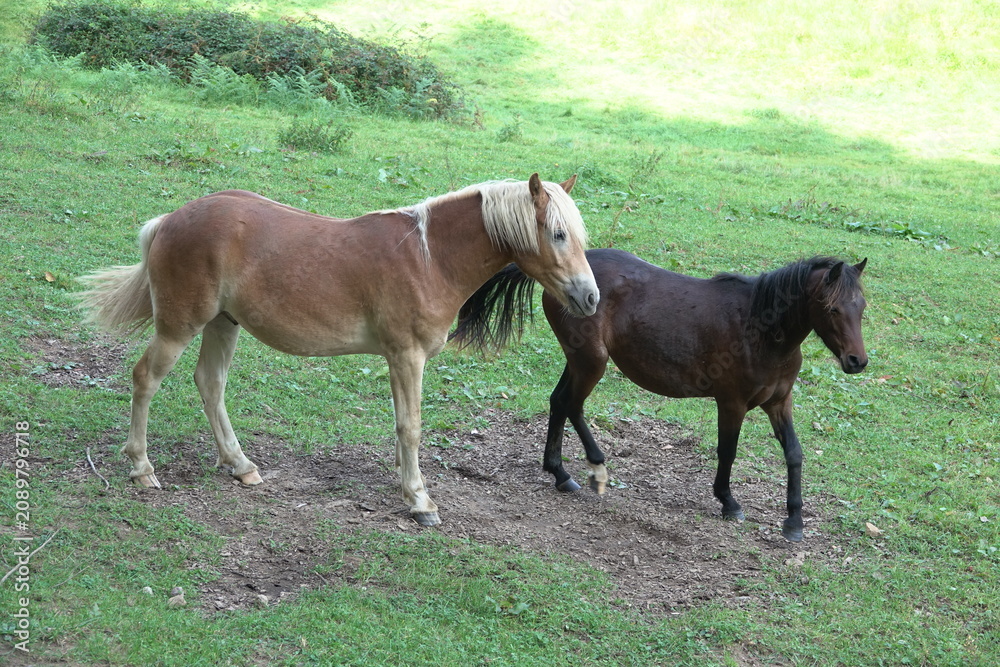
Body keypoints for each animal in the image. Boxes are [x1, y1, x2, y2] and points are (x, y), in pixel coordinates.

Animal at [79, 174, 599, 526]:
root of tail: (170, 219)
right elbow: (411, 427)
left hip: (223, 325)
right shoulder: (406, 357)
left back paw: (240, 465)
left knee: (210, 385)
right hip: (179, 327)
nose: (591, 297)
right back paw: (142, 468)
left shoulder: (399, 360)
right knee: (146, 378)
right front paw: (420, 500)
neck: (429, 258)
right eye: (557, 234)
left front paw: (405, 483)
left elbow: (400, 424)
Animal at [451, 248, 868, 541]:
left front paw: (794, 520)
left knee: (560, 402)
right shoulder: (731, 403)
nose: (857, 361)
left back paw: (560, 473)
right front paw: (728, 502)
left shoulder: (779, 402)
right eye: (831, 308)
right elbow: (728, 452)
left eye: (861, 307)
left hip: (580, 360)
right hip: (591, 362)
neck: (761, 330)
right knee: (571, 404)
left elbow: (794, 454)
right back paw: (586, 468)